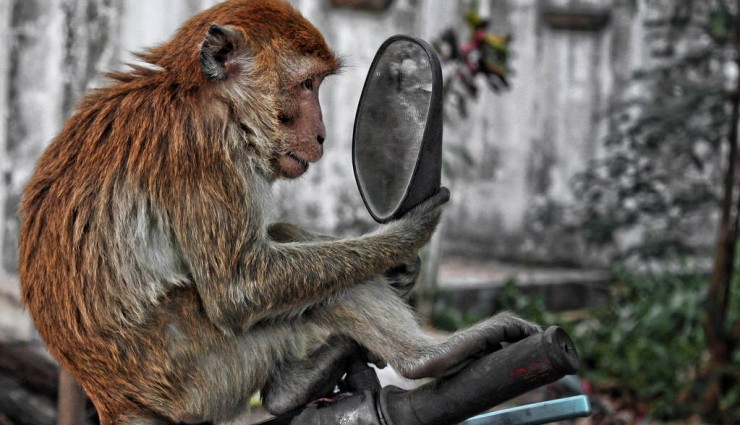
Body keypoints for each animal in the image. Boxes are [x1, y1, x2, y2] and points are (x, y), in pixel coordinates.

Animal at [17, 1, 536, 422]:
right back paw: (428, 357)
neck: (196, 93)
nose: (323, 134)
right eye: (306, 85)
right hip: (198, 367)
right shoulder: (206, 147)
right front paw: (405, 238)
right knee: (304, 290)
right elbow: (240, 289)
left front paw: (402, 269)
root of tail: (113, 399)